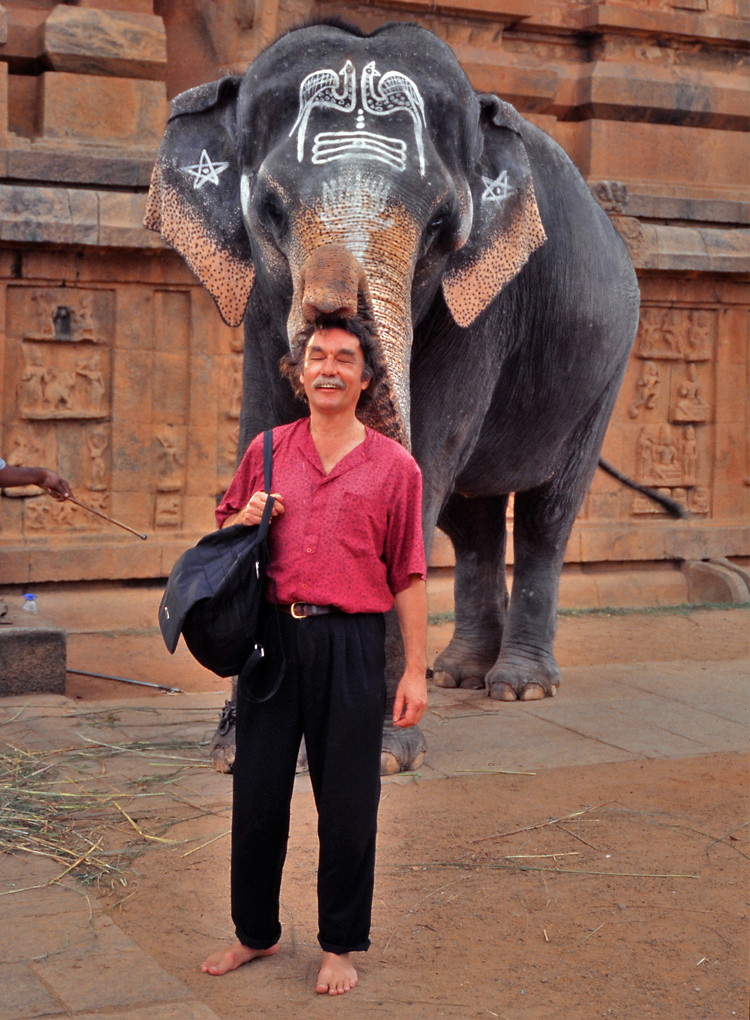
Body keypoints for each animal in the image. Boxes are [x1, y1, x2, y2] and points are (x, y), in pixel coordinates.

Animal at [144, 17, 640, 771]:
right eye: (269, 210)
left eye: (442, 226)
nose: (334, 328)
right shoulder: (262, 306)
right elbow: (263, 426)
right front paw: (235, 751)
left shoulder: (483, 309)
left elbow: (425, 456)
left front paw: (381, 756)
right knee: (470, 520)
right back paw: (459, 673)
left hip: (602, 375)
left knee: (547, 513)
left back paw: (518, 686)